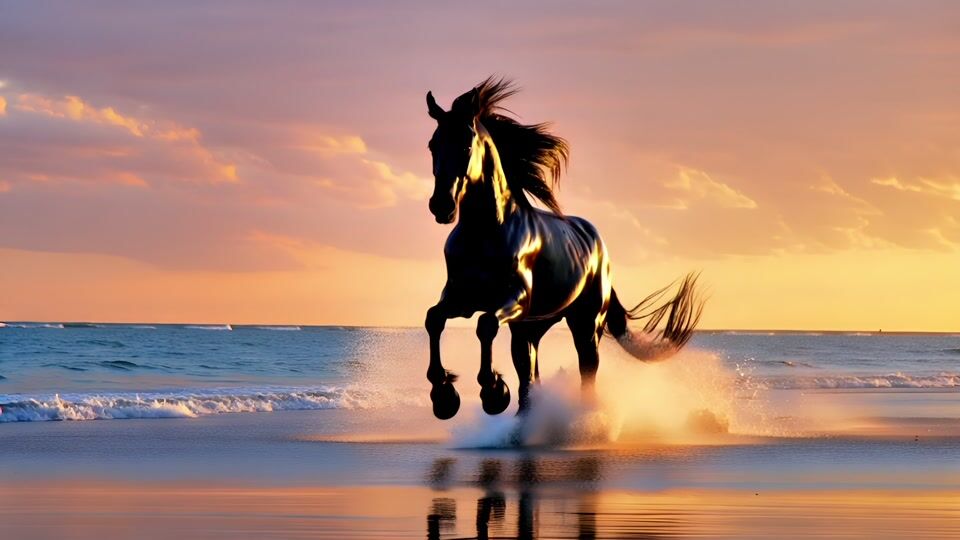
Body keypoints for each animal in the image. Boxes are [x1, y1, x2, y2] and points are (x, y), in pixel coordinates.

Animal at [424, 77, 704, 420]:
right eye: (433, 145)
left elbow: (485, 324)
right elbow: (434, 318)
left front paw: (492, 391)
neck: (486, 233)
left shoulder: (515, 299)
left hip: (584, 323)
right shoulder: (459, 297)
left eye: (465, 146)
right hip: (532, 327)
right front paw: (444, 396)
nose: (441, 206)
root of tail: (600, 248)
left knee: (587, 371)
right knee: (528, 373)